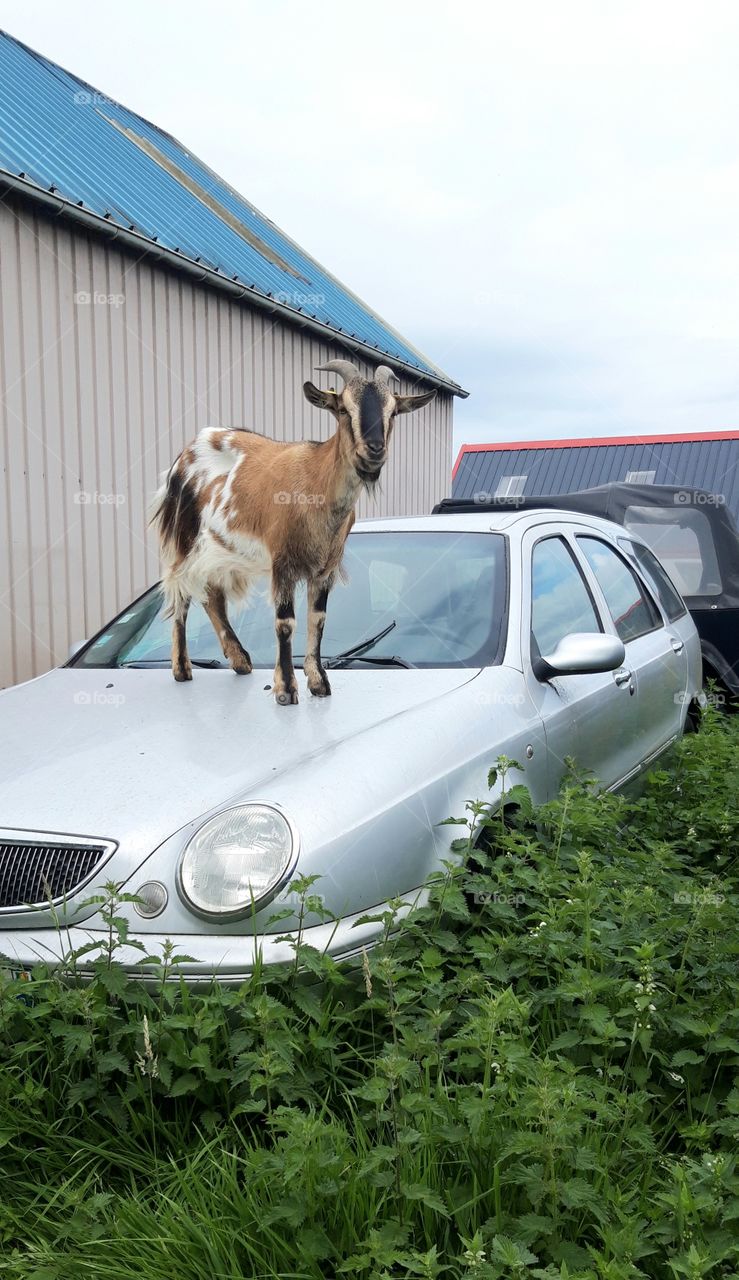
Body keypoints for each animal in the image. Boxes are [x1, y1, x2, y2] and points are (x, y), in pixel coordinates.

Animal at [150, 360, 436, 704]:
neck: (316, 482)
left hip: (220, 548)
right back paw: (182, 669)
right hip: (184, 536)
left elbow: (318, 620)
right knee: (181, 591)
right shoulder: (282, 561)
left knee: (212, 595)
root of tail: (187, 451)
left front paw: (319, 683)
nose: (374, 450)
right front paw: (286, 688)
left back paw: (240, 660)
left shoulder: (325, 567)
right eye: (343, 409)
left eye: (392, 411)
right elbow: (285, 622)